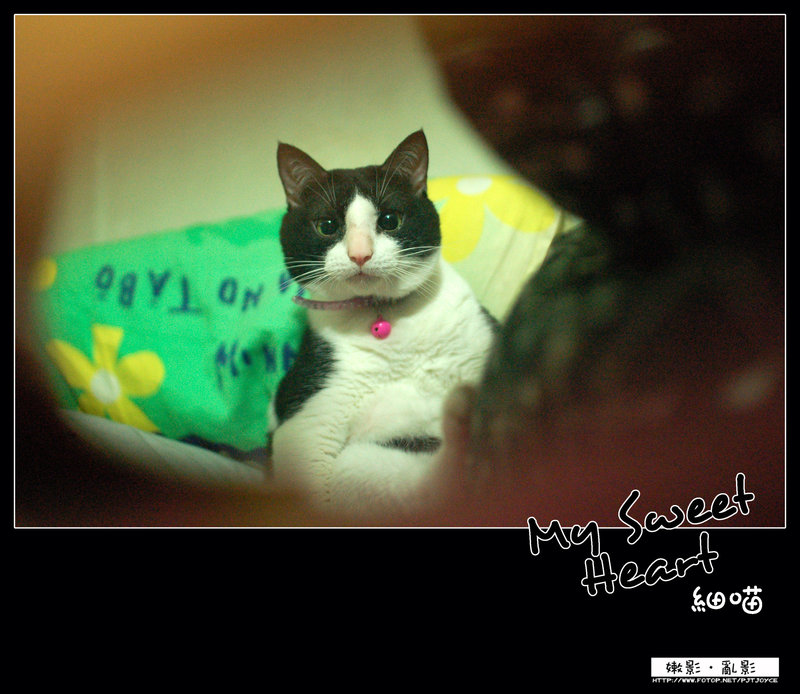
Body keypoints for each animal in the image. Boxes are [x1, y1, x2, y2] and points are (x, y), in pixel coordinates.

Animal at [268, 130, 497, 518]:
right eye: (327, 226)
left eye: (390, 220)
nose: (360, 254)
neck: (386, 317)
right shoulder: (308, 415)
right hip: (358, 464)